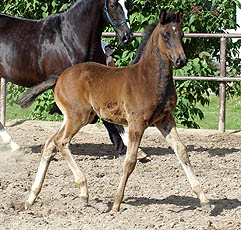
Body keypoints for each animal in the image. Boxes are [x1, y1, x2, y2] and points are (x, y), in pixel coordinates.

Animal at [24, 10, 209, 212]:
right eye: (166, 35)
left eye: (181, 35)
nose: (181, 60)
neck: (149, 79)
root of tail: (59, 78)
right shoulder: (136, 123)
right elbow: (130, 162)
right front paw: (116, 203)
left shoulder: (165, 119)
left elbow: (181, 152)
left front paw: (204, 199)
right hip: (78, 117)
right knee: (61, 142)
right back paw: (83, 191)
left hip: (72, 117)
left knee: (50, 143)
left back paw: (31, 197)